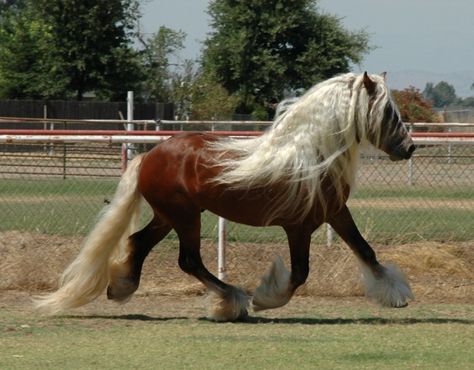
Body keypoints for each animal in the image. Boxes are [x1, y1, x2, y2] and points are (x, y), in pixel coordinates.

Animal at [35, 73, 414, 320]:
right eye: (388, 112)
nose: (409, 147)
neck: (308, 154)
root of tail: (150, 155)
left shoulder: (336, 213)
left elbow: (365, 250)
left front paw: (396, 294)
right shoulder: (299, 227)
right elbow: (299, 273)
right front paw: (265, 298)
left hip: (168, 216)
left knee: (139, 242)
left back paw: (121, 286)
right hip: (185, 216)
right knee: (188, 260)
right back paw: (232, 300)